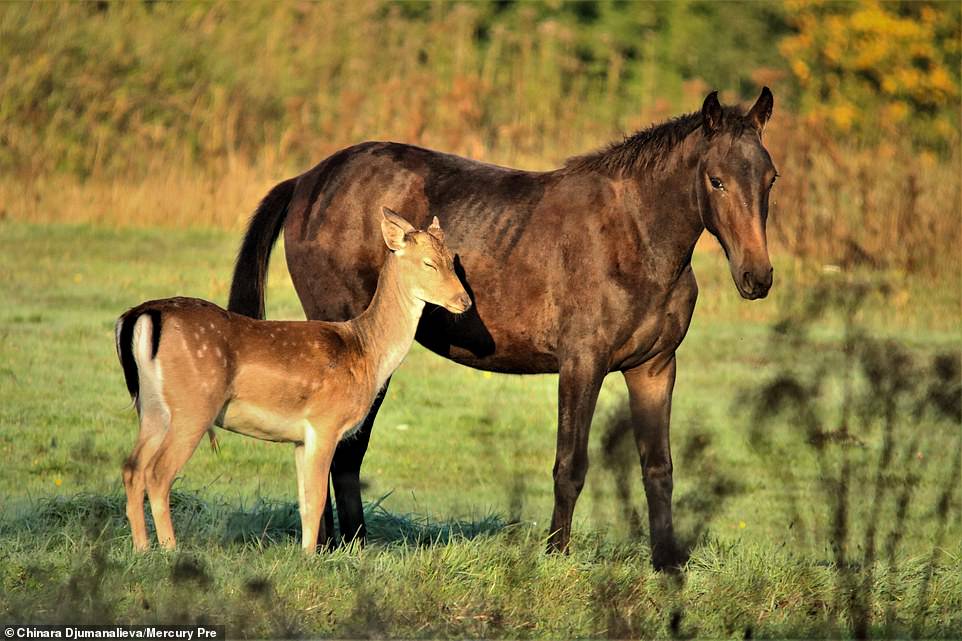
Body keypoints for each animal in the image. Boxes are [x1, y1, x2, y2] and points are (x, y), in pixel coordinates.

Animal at [114, 209, 470, 552]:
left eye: (452, 260)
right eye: (428, 263)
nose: (464, 301)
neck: (366, 352)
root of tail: (142, 315)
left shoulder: (300, 438)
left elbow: (304, 502)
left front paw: (304, 552)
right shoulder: (325, 423)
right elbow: (317, 500)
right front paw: (311, 557)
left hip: (152, 406)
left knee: (132, 467)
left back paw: (142, 549)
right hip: (194, 404)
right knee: (158, 473)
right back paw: (170, 550)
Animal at [229, 86, 776, 568]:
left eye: (770, 179)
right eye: (717, 180)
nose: (757, 277)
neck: (634, 238)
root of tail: (307, 180)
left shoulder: (655, 369)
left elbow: (658, 468)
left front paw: (665, 564)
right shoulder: (582, 365)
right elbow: (570, 465)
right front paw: (556, 557)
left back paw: (353, 546)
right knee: (335, 448)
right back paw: (328, 546)